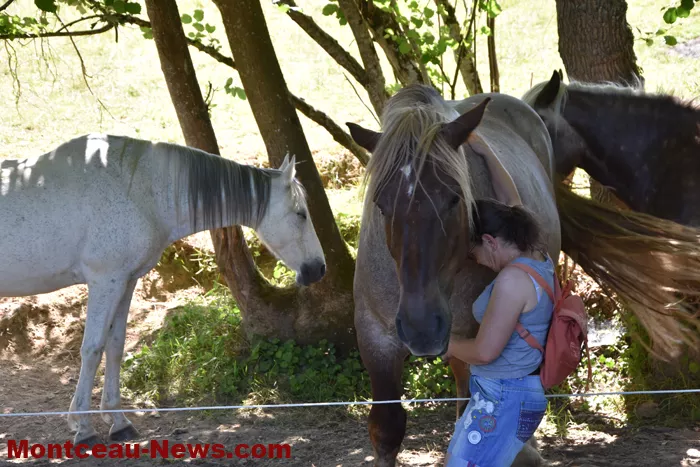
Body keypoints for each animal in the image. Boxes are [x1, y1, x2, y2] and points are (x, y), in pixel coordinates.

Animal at [0, 133, 326, 446]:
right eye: (301, 214)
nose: (318, 269)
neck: (138, 188)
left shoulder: (124, 281)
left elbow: (114, 346)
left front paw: (119, 422)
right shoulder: (105, 281)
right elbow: (92, 349)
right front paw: (83, 428)